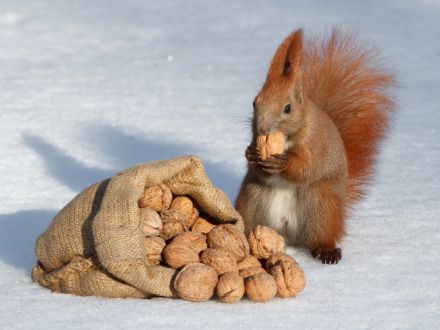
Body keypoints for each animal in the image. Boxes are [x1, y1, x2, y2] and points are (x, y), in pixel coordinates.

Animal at [235, 29, 398, 264]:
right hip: (252, 200)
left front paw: (283, 164)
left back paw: (327, 251)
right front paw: (251, 154)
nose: (263, 128)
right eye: (254, 102)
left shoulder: (315, 143)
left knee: (321, 235)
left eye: (287, 108)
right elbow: (258, 169)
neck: (287, 136)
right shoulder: (254, 137)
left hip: (320, 204)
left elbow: (307, 168)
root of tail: (289, 236)